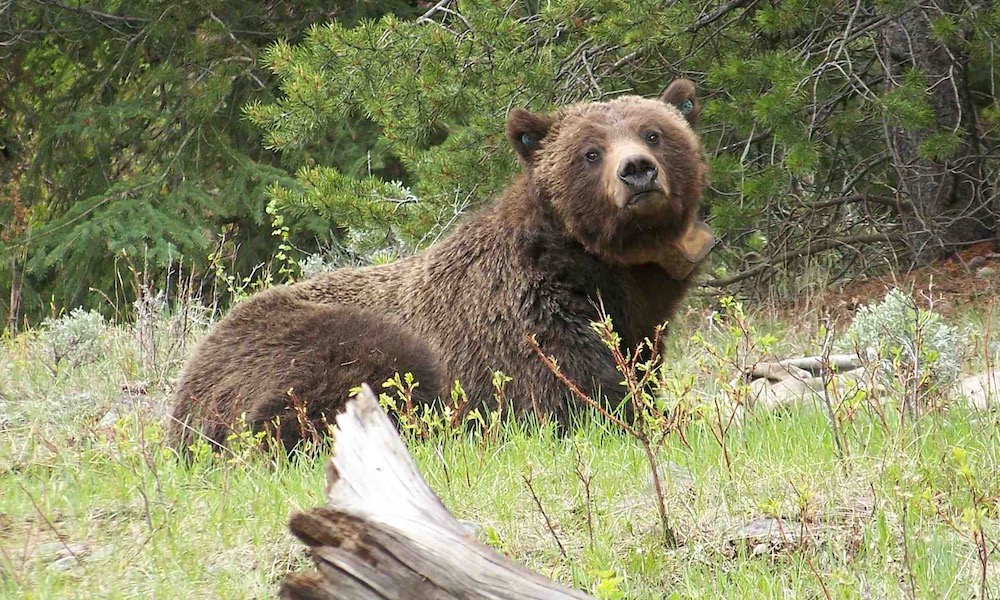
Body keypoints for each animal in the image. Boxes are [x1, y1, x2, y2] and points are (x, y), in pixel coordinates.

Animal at [168, 78, 712, 450]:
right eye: (591, 152)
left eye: (655, 133)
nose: (637, 171)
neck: (601, 267)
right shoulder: (525, 315)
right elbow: (575, 393)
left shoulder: (641, 319)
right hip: (295, 346)